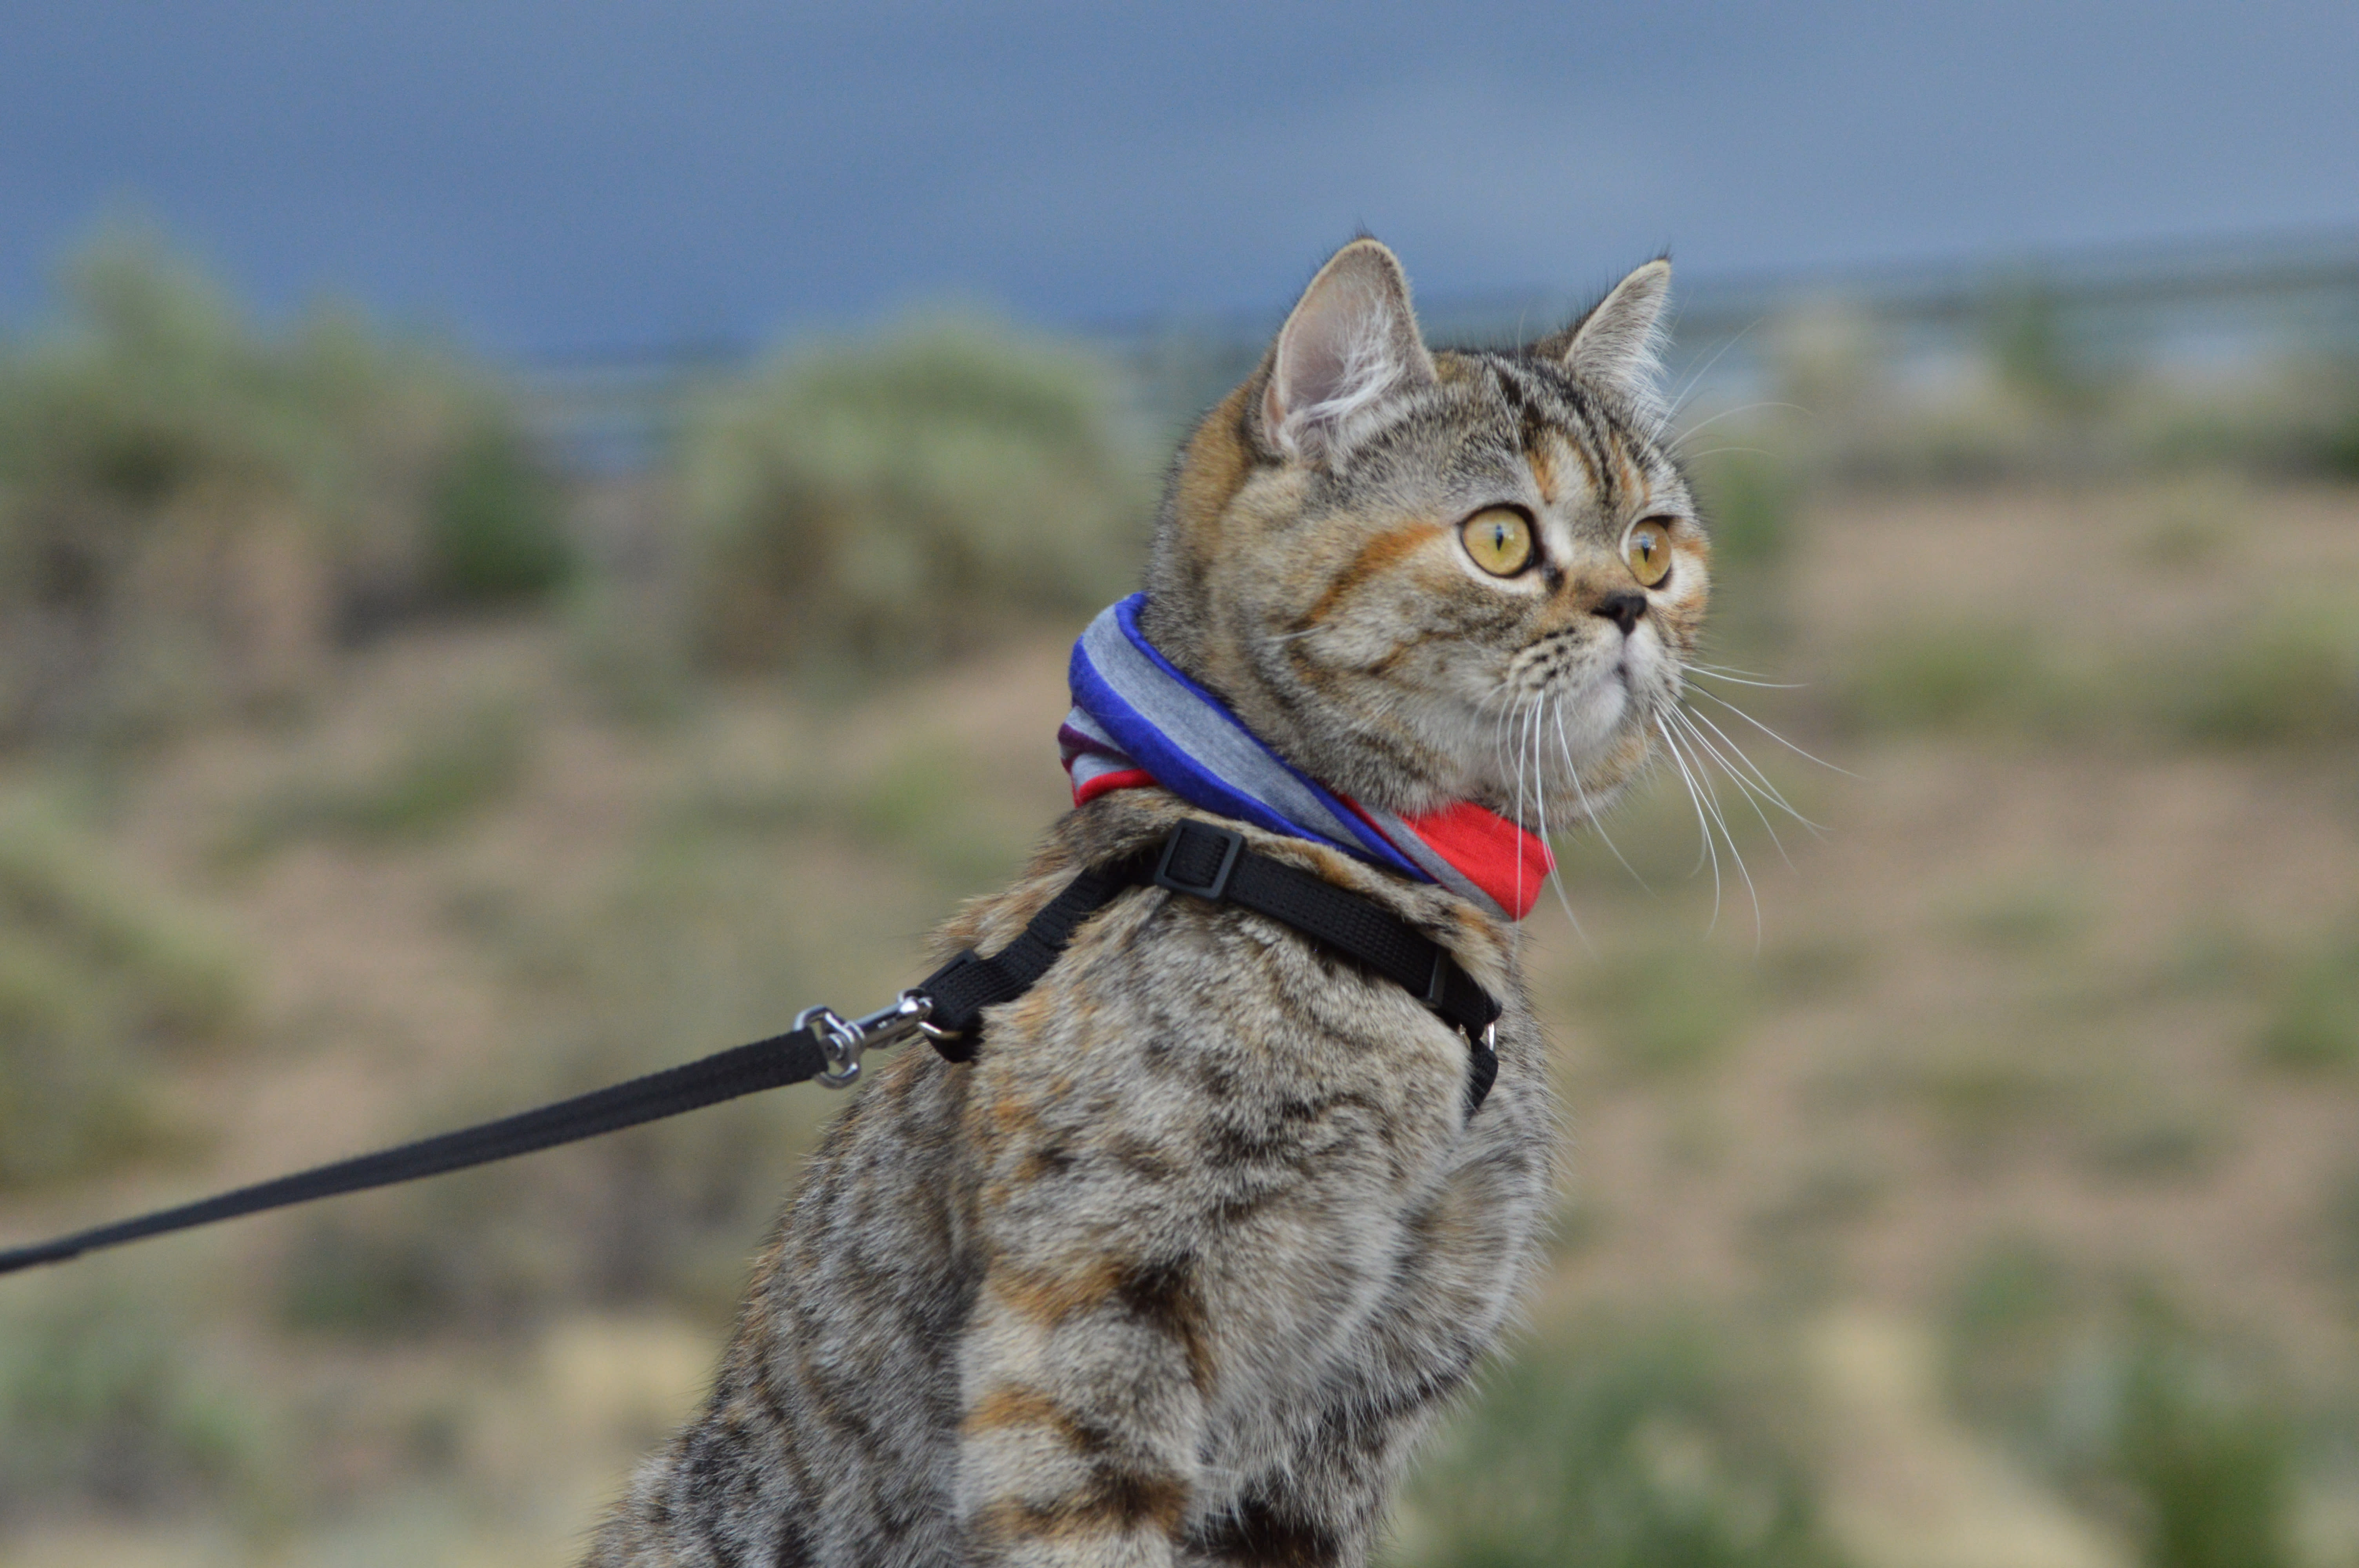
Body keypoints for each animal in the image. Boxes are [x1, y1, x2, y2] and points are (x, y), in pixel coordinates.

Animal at [580, 236, 1708, 1565]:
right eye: (1498, 539)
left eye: (1655, 548)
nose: (1631, 606)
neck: (1336, 873)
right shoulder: (1091, 1331)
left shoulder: (1359, 1413)